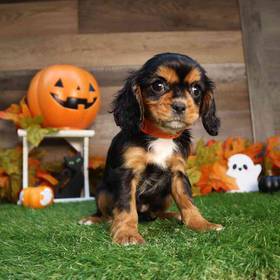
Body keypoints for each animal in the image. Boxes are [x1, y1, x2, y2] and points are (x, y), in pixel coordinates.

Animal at [79, 53, 223, 245]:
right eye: (158, 86)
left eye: (196, 90)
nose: (180, 106)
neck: (161, 135)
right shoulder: (127, 173)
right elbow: (126, 206)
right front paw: (127, 233)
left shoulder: (178, 173)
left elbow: (187, 200)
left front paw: (201, 223)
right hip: (102, 192)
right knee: (105, 212)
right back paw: (93, 219)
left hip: (165, 195)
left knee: (156, 213)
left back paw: (172, 215)